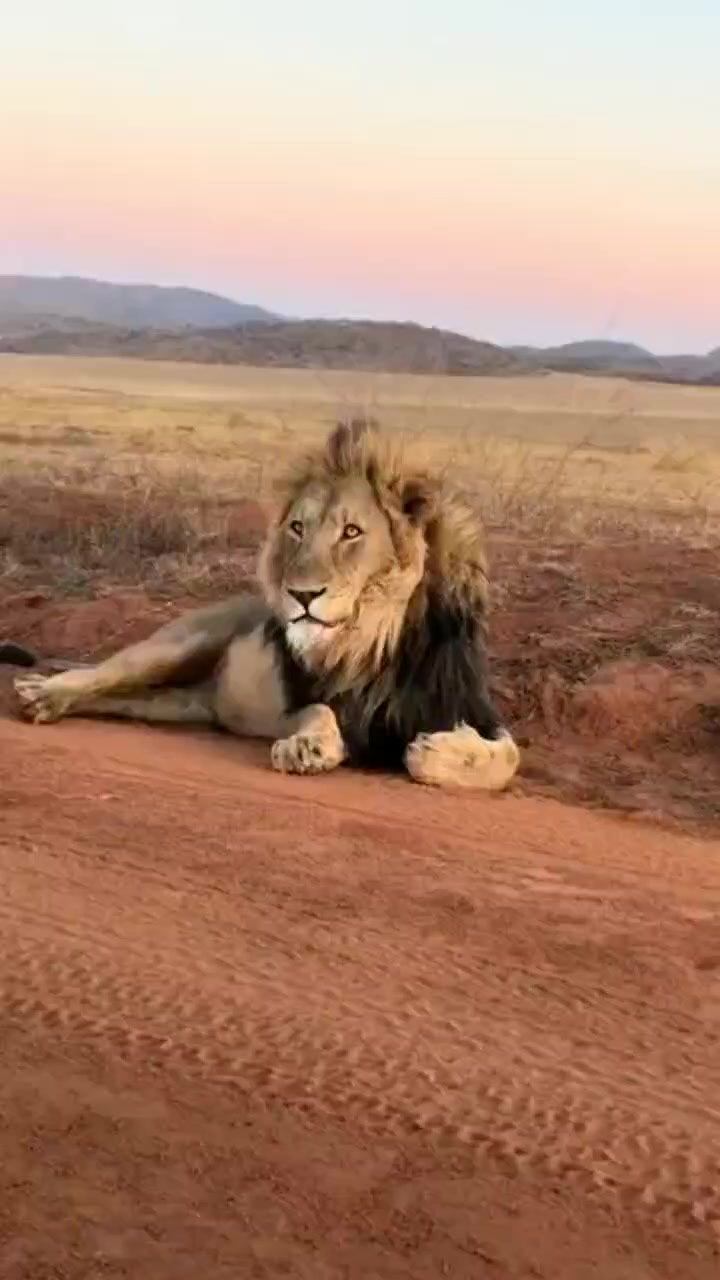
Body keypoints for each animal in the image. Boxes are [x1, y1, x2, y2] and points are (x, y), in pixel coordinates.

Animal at [1, 419, 519, 790]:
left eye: (352, 532)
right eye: (297, 528)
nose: (301, 595)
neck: (380, 634)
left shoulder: (469, 706)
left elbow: (509, 756)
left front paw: (436, 751)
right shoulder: (307, 699)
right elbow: (320, 711)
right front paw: (306, 748)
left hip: (171, 702)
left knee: (118, 697)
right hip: (179, 644)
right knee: (100, 673)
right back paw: (39, 693)